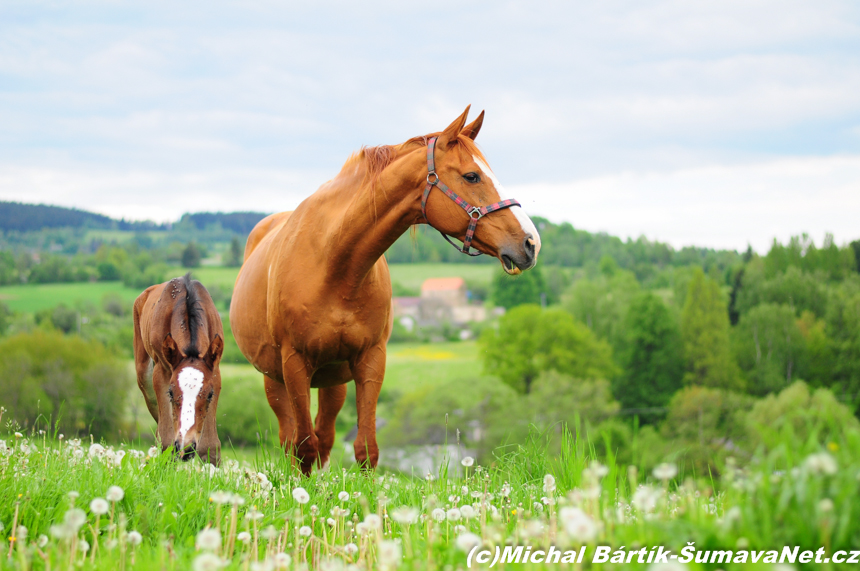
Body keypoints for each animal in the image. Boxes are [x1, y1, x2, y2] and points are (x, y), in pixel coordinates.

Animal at [132, 272, 223, 464]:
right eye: (171, 393)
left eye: (209, 394)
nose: (186, 448)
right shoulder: (162, 372)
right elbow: (166, 439)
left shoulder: (215, 373)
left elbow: (210, 444)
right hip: (145, 377)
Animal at [228, 106, 536, 474]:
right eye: (472, 176)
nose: (531, 242)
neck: (335, 267)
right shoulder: (294, 364)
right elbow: (303, 448)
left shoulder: (371, 360)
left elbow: (365, 449)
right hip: (274, 379)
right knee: (293, 439)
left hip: (332, 380)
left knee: (325, 435)